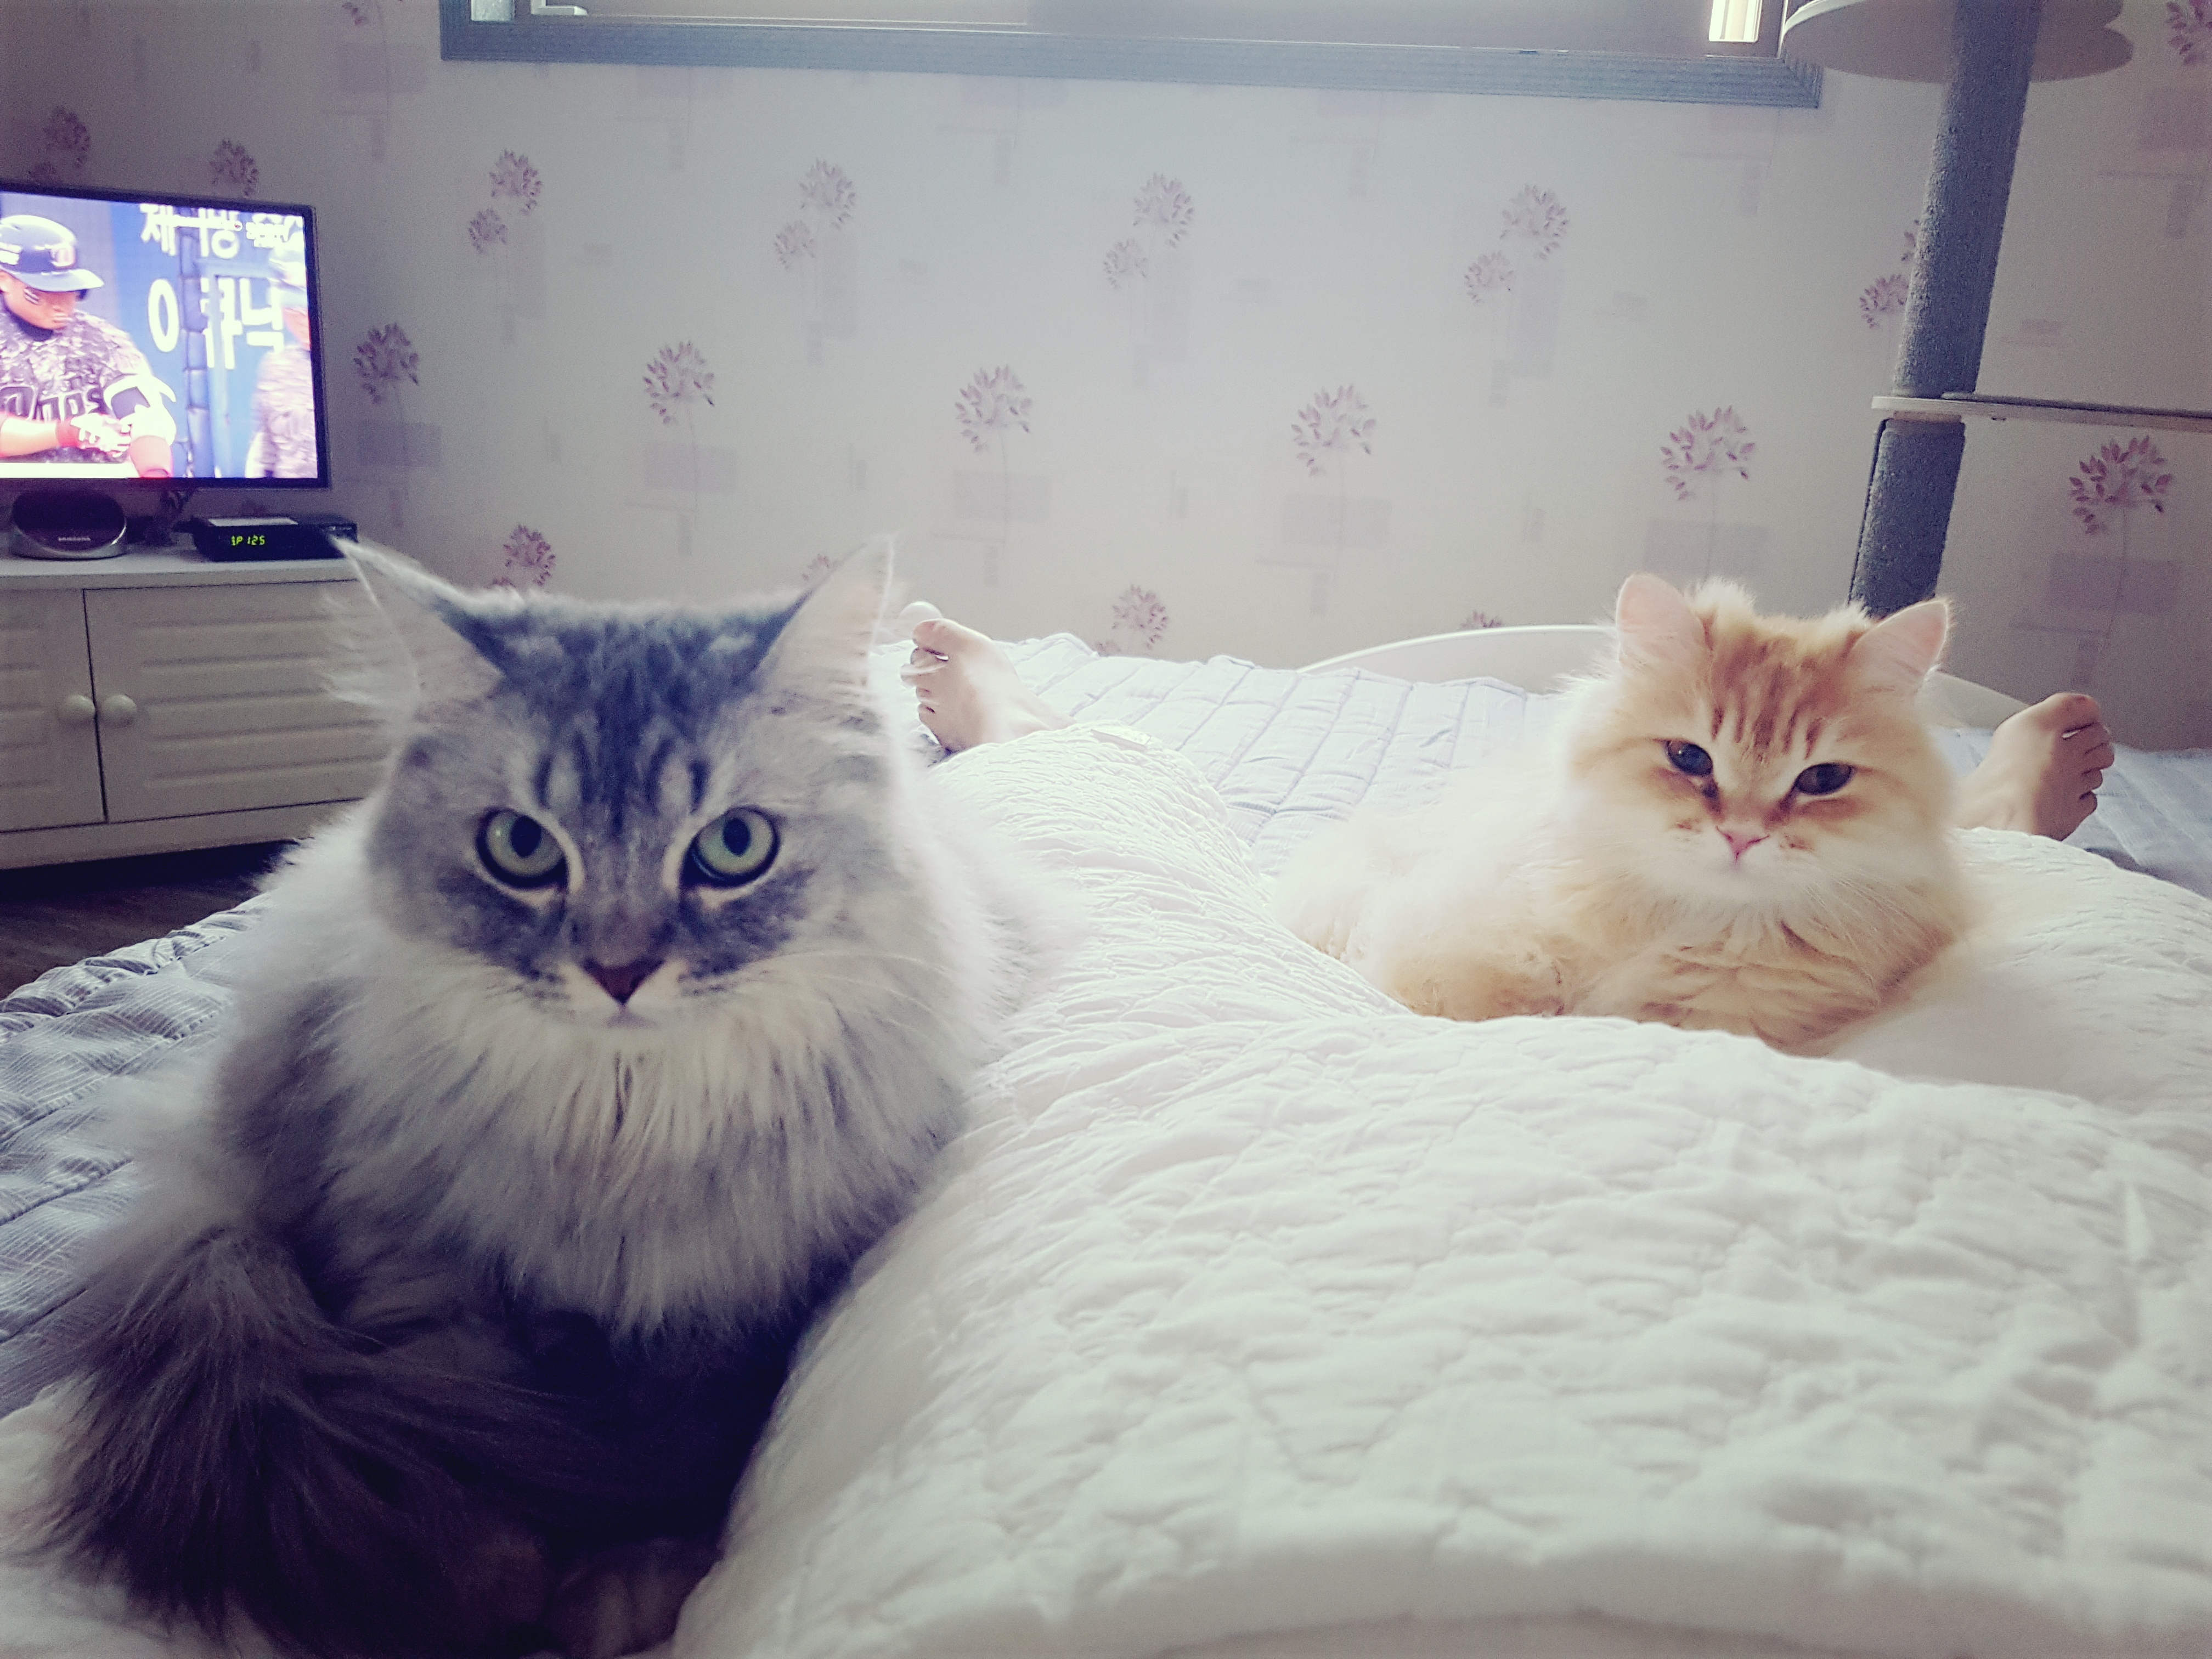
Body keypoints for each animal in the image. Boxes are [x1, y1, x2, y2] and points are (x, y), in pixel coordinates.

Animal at [34, 542, 1045, 1659]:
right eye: (521, 848)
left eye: (734, 846)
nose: (618, 971)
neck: (623, 1130)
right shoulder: (427, 1273)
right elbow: (476, 1423)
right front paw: (473, 1579)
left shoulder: (734, 1307)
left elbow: (675, 1454)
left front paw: (622, 1583)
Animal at [1274, 573, 1968, 1053]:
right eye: (1689, 758)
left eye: (1823, 779)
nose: (1741, 835)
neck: (1689, 923)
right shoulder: (1448, 940)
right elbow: (1494, 997)